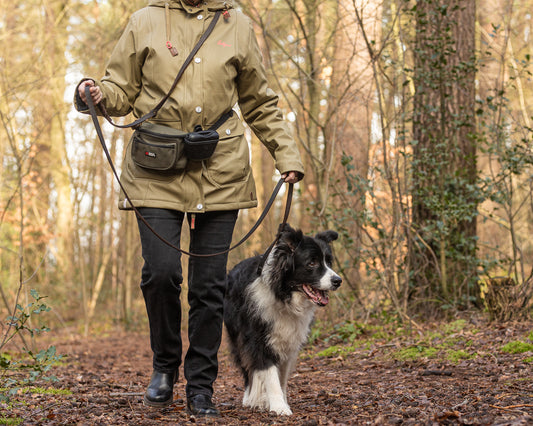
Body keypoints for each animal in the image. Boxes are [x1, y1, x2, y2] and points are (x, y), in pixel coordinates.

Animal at [223, 225, 340, 414]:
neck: (285, 297)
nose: (338, 280)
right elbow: (270, 373)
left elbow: (281, 376)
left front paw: (282, 401)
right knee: (246, 366)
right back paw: (250, 397)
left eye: (329, 262)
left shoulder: (288, 341)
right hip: (237, 334)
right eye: (312, 263)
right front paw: (279, 407)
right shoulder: (258, 338)